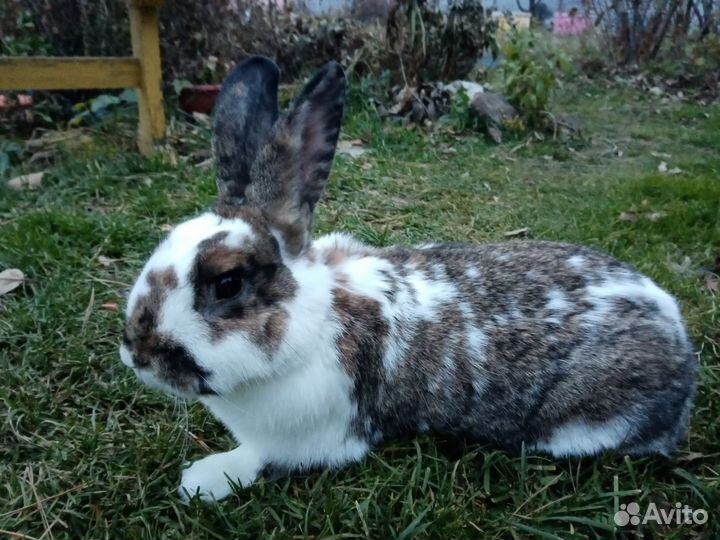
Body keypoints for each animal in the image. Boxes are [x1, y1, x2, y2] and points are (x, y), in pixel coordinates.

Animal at [119, 56, 698, 503]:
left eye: (227, 283)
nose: (135, 352)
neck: (312, 322)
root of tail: (679, 340)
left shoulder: (310, 437)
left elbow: (258, 460)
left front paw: (203, 479)